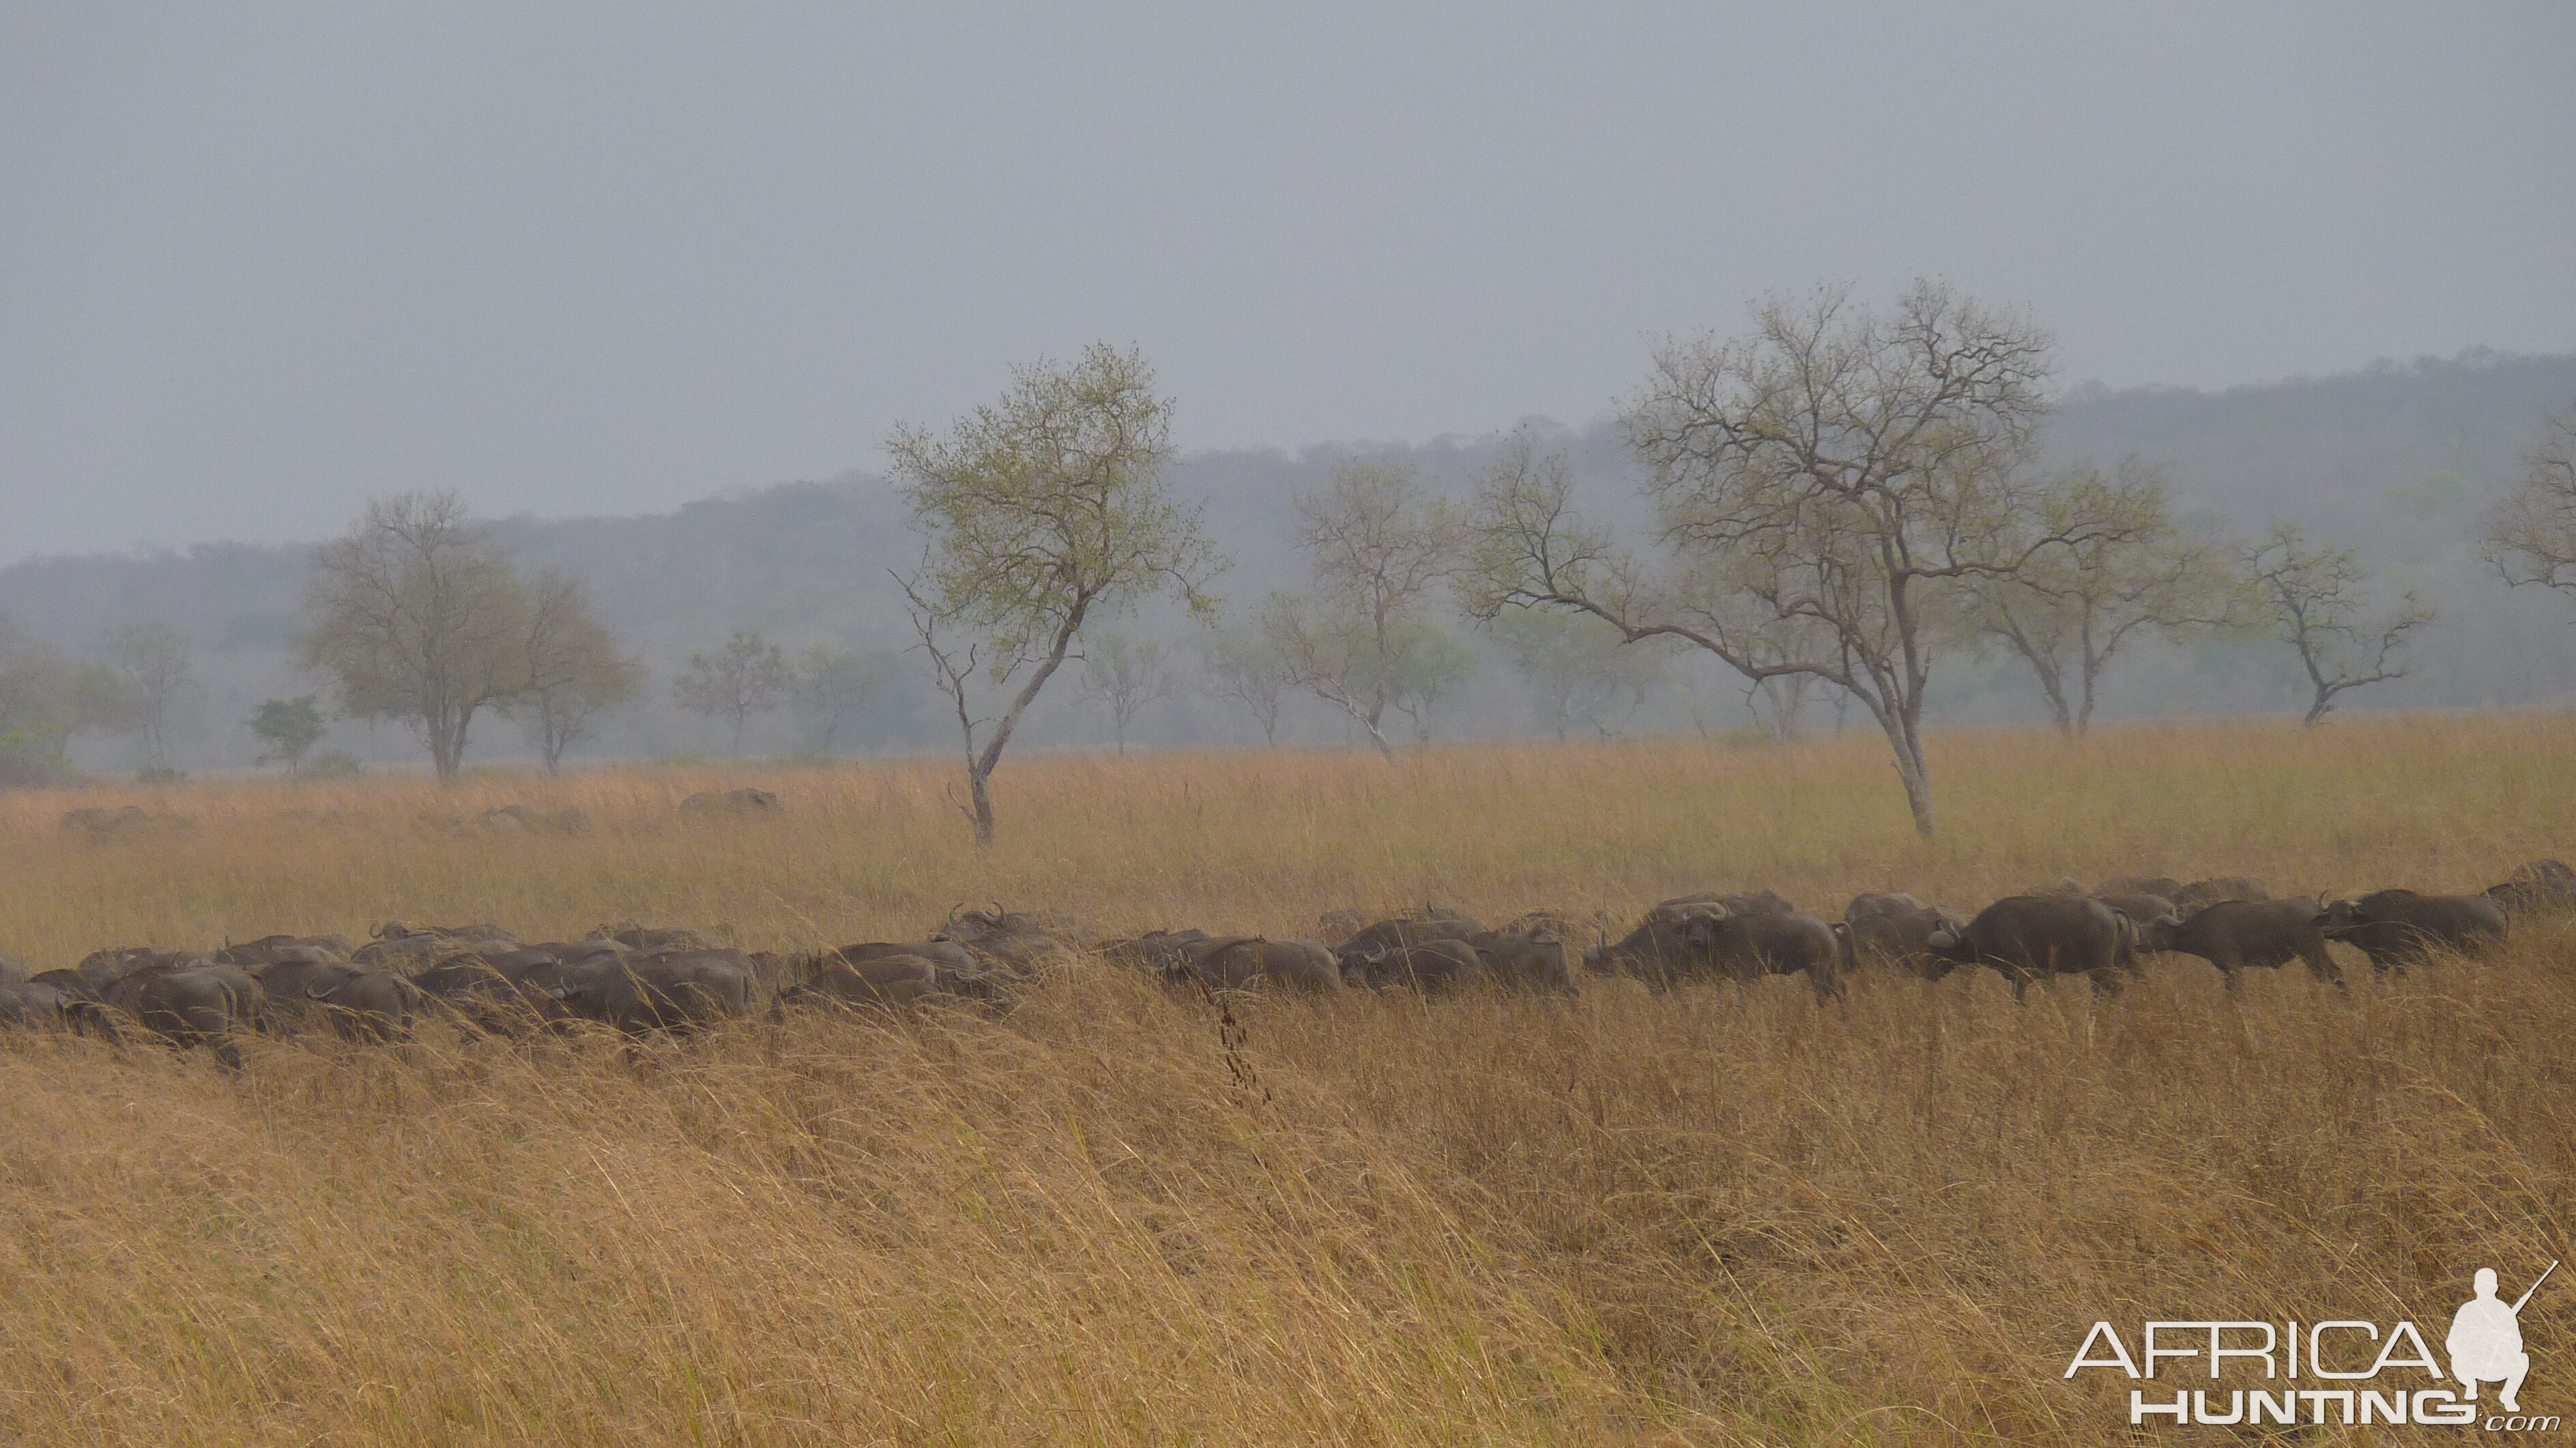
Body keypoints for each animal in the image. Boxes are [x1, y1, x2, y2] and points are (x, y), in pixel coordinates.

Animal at [1937, 891, 2132, 989]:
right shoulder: (2047, 975)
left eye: (1939, 951)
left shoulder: (2020, 977)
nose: (1934, 972)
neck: (1991, 928)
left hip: (2100, 968)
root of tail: (2110, 910)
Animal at [2308, 886, 2504, 964]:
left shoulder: (2401, 962)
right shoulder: (2380, 964)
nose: (2329, 932)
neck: (2373, 919)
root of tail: (2496, 908)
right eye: (2330, 915)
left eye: (2347, 915)